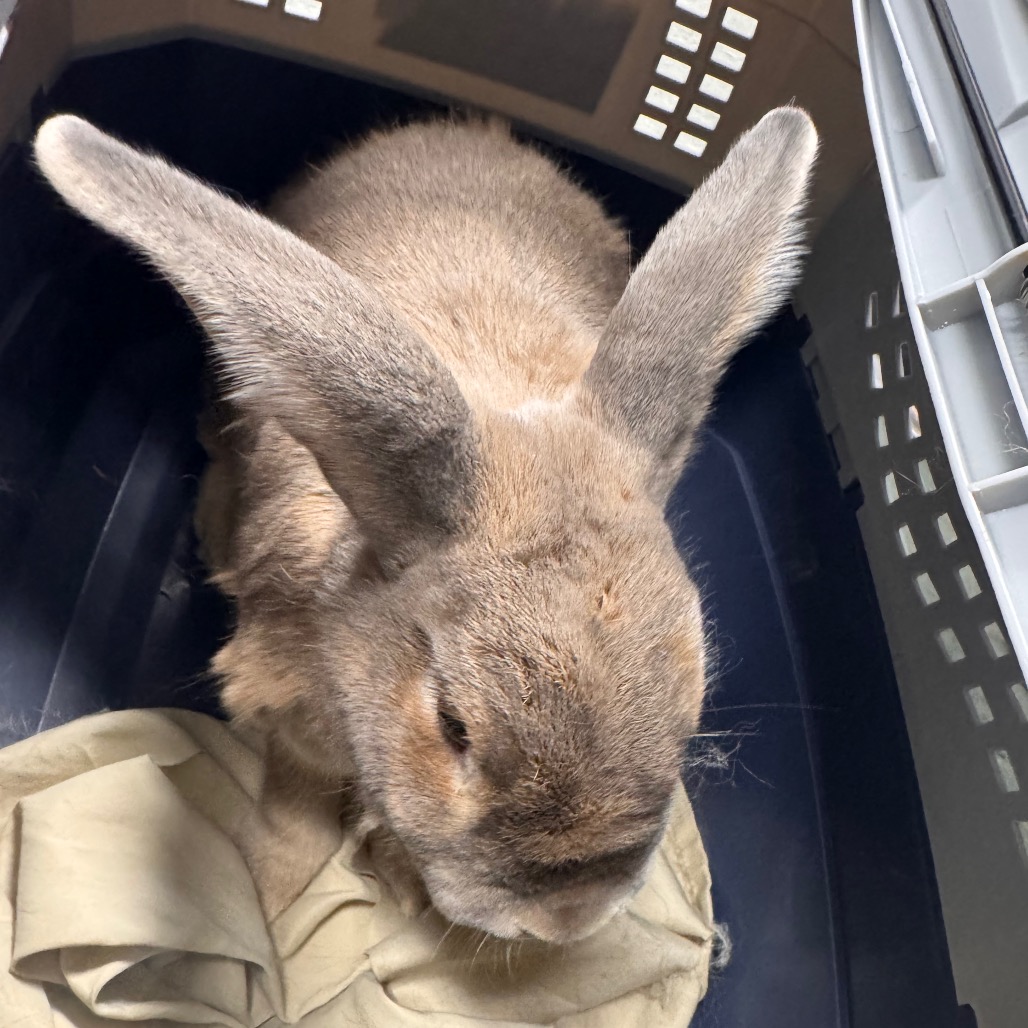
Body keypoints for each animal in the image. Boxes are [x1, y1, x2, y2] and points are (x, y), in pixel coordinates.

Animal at [33, 106, 818, 944]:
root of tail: (454, 125)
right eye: (453, 725)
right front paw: (273, 901)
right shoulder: (291, 722)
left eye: (690, 705)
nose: (565, 920)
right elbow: (294, 811)